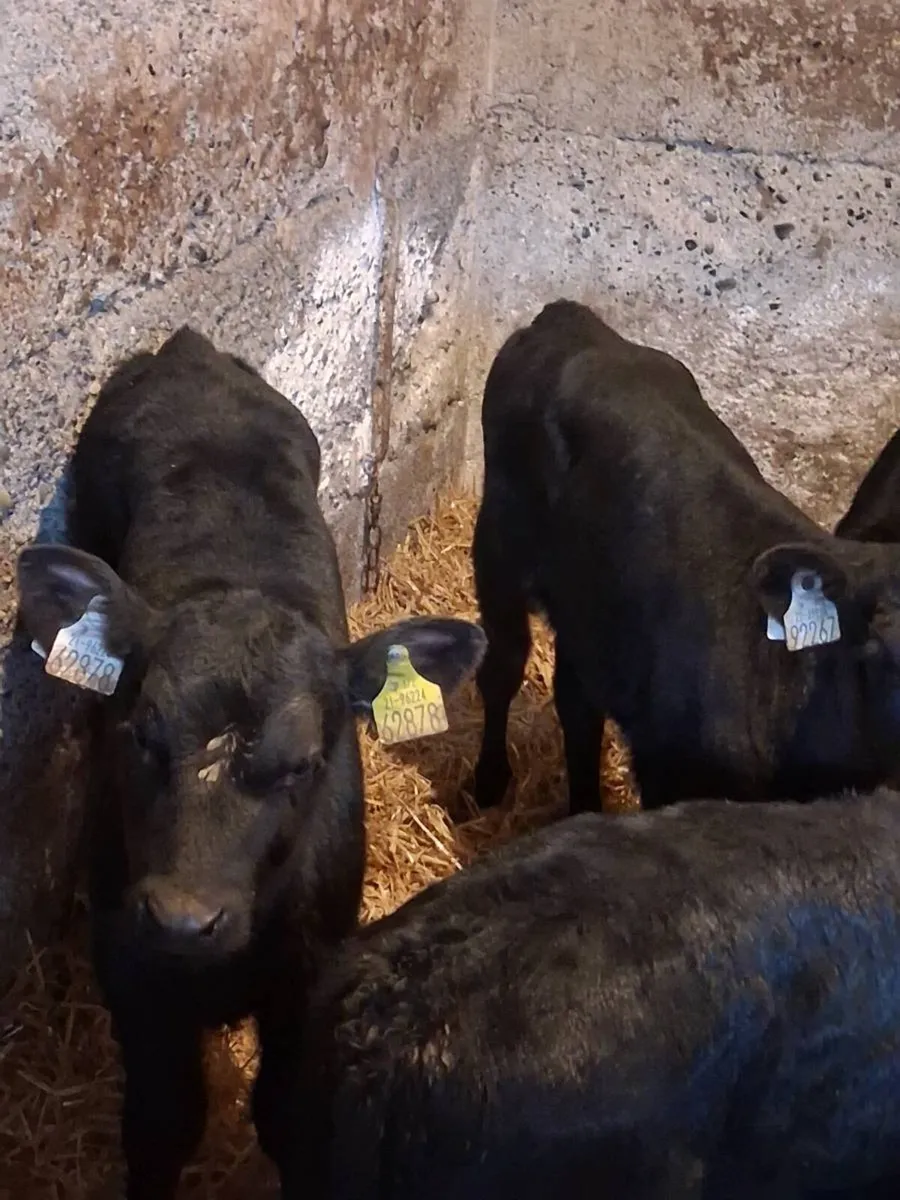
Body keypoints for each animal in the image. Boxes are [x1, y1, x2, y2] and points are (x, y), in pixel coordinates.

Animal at [15, 327, 486, 1200]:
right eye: (140, 734)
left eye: (303, 764)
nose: (183, 917)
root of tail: (190, 349)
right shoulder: (132, 973)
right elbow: (162, 1125)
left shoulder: (306, 981)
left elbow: (283, 1118)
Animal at [470, 299, 900, 815]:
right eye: (881, 637)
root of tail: (568, 317)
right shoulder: (668, 775)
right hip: (497, 546)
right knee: (504, 665)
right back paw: (486, 784)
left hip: (588, 605)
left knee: (576, 703)